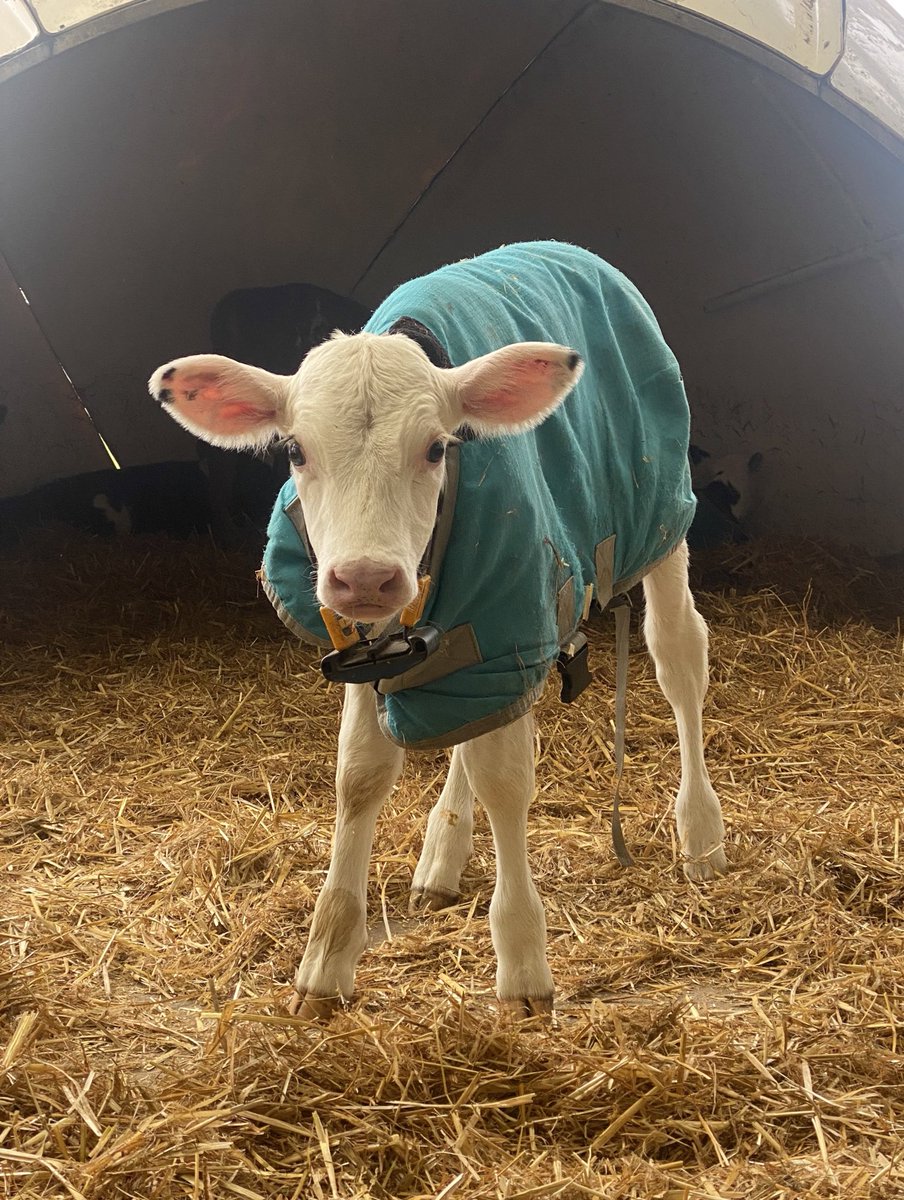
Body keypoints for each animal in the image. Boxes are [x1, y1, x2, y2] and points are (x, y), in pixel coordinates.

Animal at [150, 242, 727, 1020]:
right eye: (295, 451)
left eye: (435, 449)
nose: (365, 576)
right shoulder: (383, 642)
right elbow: (360, 775)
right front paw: (326, 958)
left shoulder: (510, 608)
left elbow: (506, 780)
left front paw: (523, 966)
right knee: (469, 723)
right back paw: (444, 851)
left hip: (659, 514)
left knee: (677, 657)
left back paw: (700, 836)